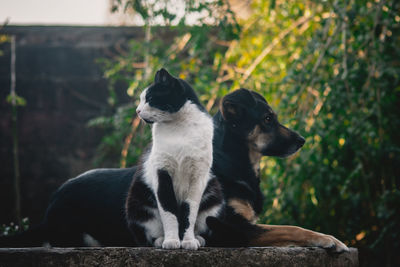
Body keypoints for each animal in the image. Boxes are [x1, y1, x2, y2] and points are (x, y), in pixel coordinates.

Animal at [0, 89, 348, 252]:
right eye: (267, 119)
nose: (303, 140)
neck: (233, 163)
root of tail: (50, 207)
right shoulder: (227, 227)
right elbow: (292, 228)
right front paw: (329, 239)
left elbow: (283, 230)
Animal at [125, 68, 223, 251]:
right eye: (141, 99)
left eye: (150, 99)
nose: (137, 111)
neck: (178, 127)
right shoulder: (162, 174)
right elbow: (169, 211)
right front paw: (171, 241)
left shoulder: (198, 177)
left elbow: (189, 213)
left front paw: (188, 241)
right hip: (138, 204)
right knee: (147, 235)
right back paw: (160, 240)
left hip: (214, 201)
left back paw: (198, 239)